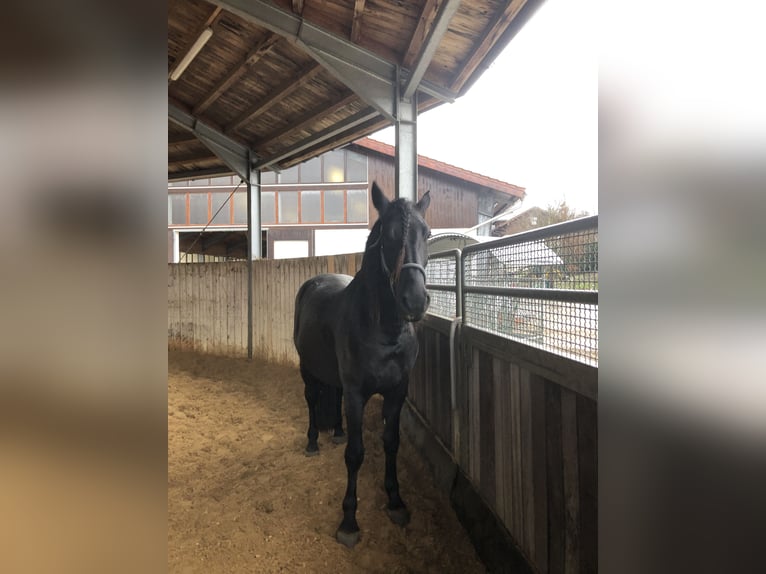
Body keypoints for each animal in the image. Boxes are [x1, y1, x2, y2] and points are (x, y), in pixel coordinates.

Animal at [296, 182, 432, 552]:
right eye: (388, 234)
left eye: (427, 233)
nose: (415, 301)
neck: (385, 331)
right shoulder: (357, 395)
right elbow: (355, 454)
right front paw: (349, 522)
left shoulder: (397, 393)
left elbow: (391, 442)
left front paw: (396, 503)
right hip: (306, 369)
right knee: (312, 401)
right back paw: (313, 443)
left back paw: (337, 431)